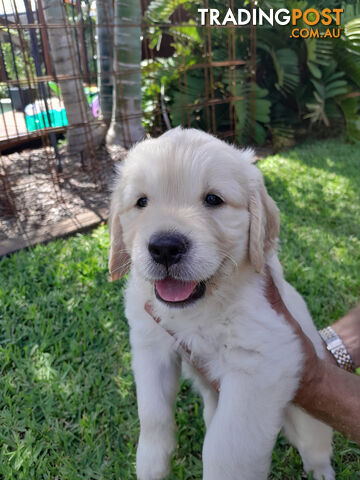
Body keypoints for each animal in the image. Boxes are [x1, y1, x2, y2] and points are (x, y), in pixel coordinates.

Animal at [108, 127, 334, 480]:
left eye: (213, 199)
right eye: (141, 202)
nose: (165, 247)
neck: (202, 306)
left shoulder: (260, 363)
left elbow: (226, 451)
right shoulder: (150, 344)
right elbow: (153, 412)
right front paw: (150, 465)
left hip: (309, 418)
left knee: (317, 449)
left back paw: (321, 472)